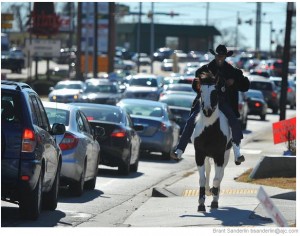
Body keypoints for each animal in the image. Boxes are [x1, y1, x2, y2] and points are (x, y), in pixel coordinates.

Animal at [191, 71, 231, 213]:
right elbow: (202, 179)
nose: (207, 110)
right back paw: (209, 191)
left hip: (225, 154)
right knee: (208, 170)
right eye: (201, 92)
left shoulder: (219, 156)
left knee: (221, 174)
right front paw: (201, 203)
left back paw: (215, 193)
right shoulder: (199, 155)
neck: (209, 131)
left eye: (215, 92)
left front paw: (214, 201)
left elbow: (217, 178)